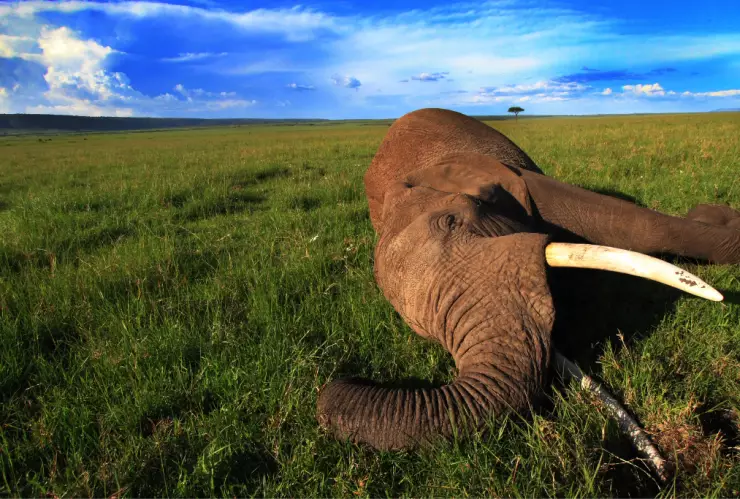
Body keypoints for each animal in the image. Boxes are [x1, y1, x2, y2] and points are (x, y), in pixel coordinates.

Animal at [316, 108, 740, 451]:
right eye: (417, 326)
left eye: (452, 221)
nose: (346, 382)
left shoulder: (517, 182)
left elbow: (644, 228)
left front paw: (718, 220)